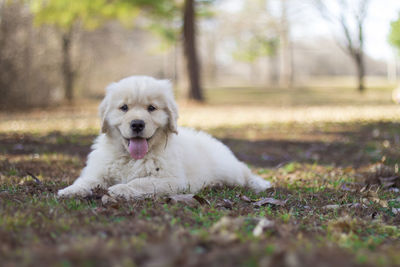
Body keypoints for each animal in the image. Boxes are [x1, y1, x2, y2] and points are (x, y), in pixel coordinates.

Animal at [57, 76, 272, 200]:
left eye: (151, 108)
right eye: (124, 108)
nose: (137, 124)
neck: (131, 158)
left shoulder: (172, 180)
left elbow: (141, 182)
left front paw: (121, 189)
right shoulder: (99, 171)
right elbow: (86, 180)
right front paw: (70, 190)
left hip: (228, 169)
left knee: (244, 172)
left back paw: (257, 184)